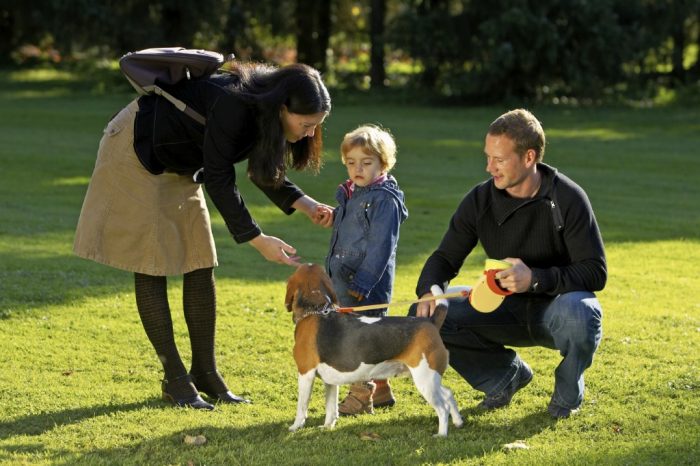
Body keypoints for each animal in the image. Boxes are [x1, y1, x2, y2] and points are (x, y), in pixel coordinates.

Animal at [282, 264, 462, 438]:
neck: (315, 309)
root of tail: (430, 322)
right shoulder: (330, 381)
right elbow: (331, 408)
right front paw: (327, 426)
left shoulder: (305, 373)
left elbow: (301, 407)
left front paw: (295, 427)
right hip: (430, 378)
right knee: (449, 394)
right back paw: (458, 422)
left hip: (425, 379)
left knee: (443, 408)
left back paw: (441, 434)